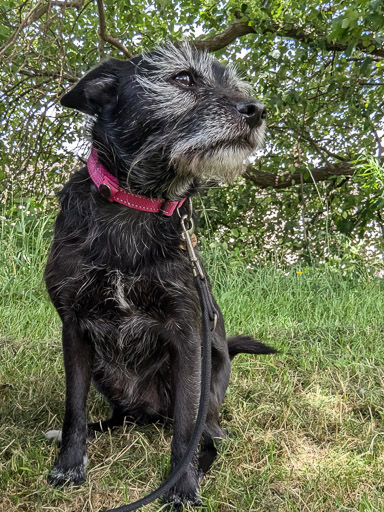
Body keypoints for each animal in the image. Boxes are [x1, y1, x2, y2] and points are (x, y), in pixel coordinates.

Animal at [45, 41, 272, 508]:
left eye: (234, 83)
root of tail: (147, 410)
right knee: (119, 419)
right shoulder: (74, 327)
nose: (257, 110)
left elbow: (186, 429)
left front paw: (181, 487)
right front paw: (69, 465)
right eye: (182, 78)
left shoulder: (187, 335)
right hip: (105, 373)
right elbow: (74, 408)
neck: (138, 205)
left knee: (208, 436)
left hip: (208, 379)